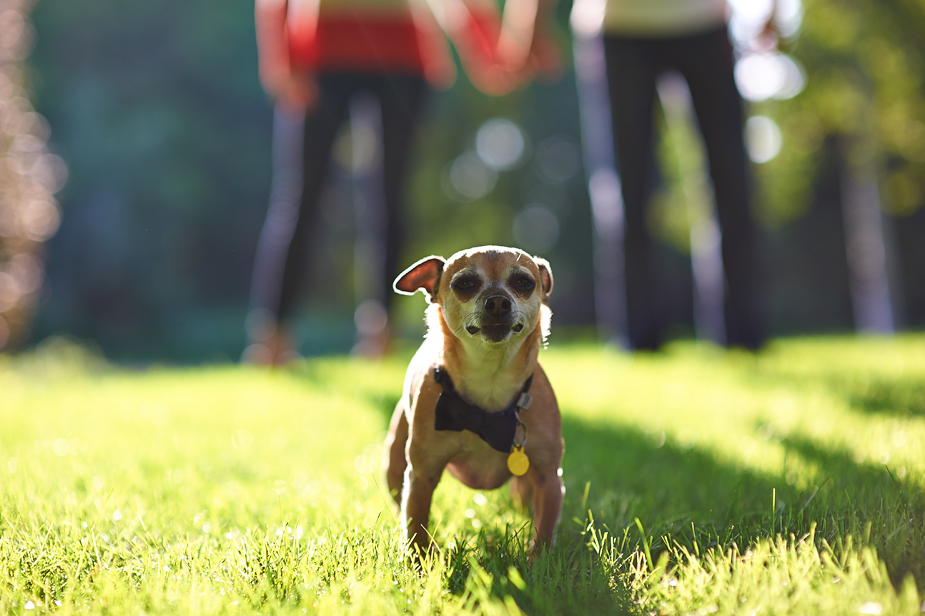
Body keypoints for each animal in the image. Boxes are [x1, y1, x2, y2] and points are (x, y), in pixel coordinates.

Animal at [382, 247, 564, 560]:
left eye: (524, 282)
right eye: (464, 284)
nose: (498, 302)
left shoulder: (548, 477)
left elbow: (544, 530)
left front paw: (537, 564)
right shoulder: (421, 475)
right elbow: (416, 524)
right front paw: (422, 561)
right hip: (394, 463)